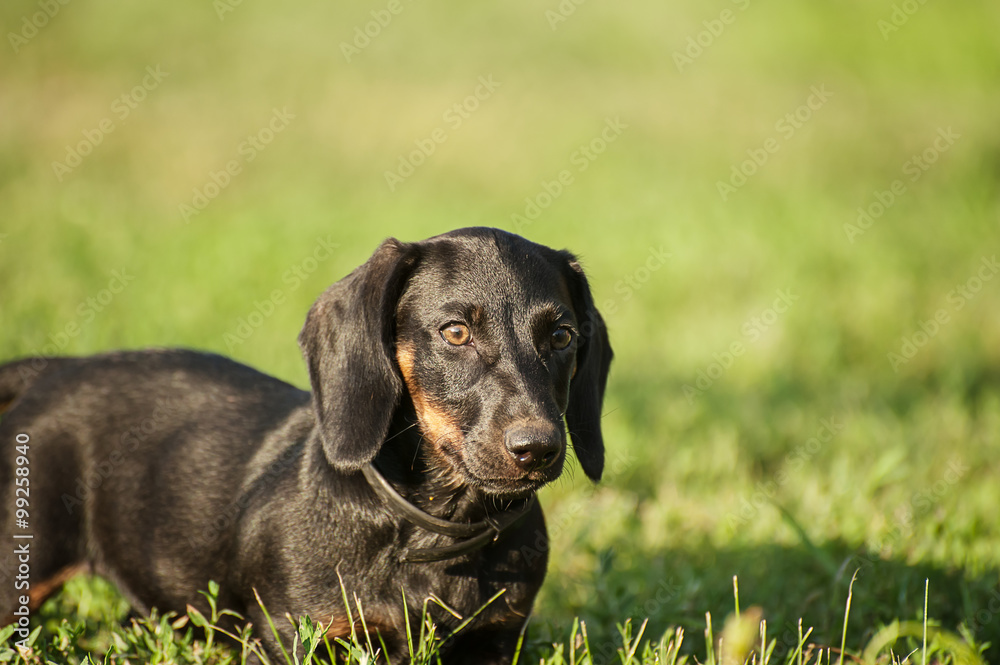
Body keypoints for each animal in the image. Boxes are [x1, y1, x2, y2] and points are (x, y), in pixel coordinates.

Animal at [0, 227, 608, 660]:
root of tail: (55, 372)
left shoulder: (496, 639)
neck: (431, 532)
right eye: (456, 332)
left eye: (562, 336)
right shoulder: (290, 635)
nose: (538, 449)